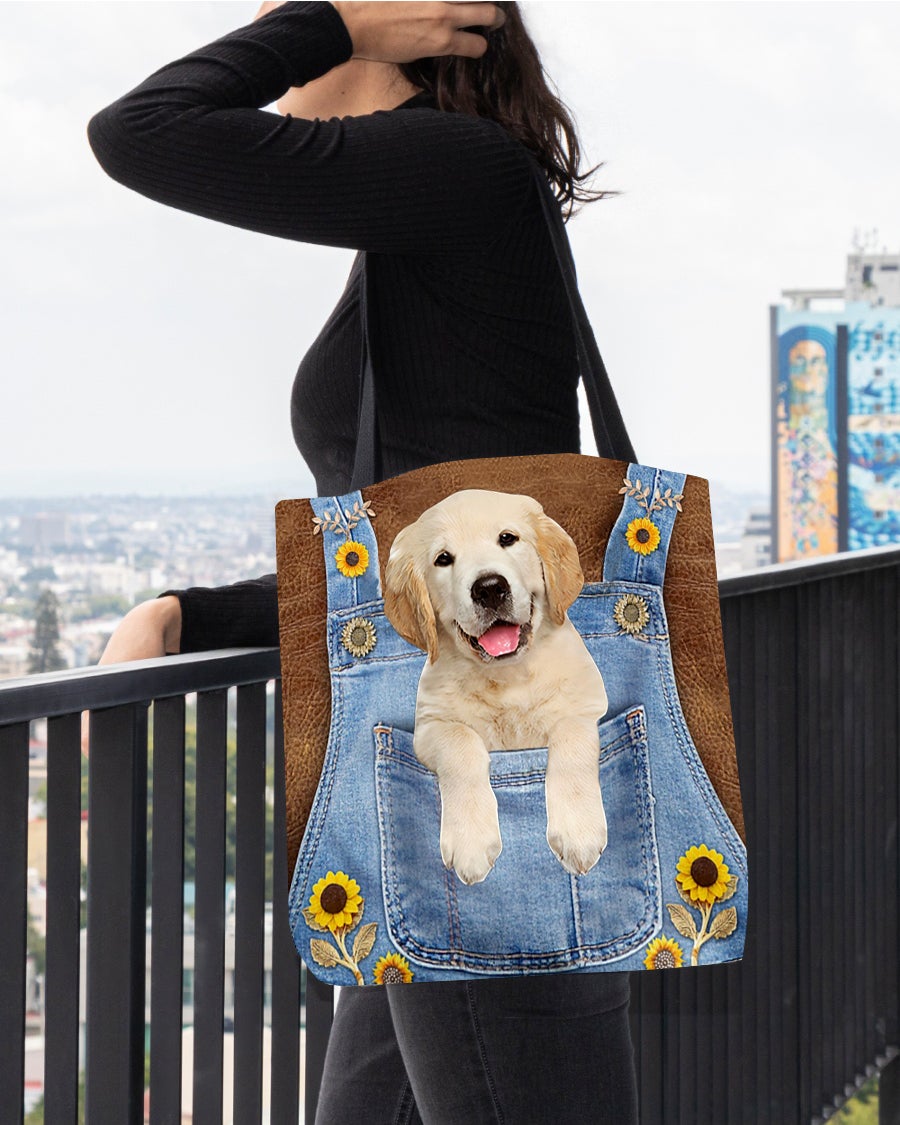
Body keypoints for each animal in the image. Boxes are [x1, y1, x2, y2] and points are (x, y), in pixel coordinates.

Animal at [382, 488, 607, 882]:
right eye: (443, 559)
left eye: (507, 538)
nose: (489, 589)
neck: (508, 677)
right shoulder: (430, 728)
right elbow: (461, 742)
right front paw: (470, 841)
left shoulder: (588, 705)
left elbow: (571, 737)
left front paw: (579, 832)